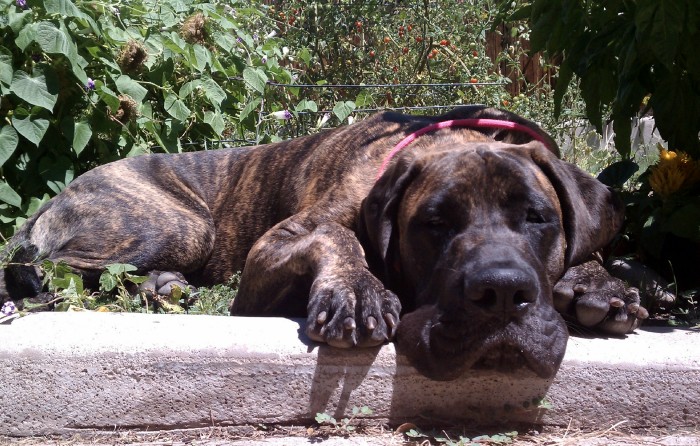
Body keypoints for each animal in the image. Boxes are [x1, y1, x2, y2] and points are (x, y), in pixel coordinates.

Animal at [0, 105, 644, 380]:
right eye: (433, 224)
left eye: (538, 218)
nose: (502, 293)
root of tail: (51, 201)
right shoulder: (269, 252)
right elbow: (334, 232)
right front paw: (358, 290)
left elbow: (590, 250)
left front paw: (599, 283)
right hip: (177, 224)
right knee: (51, 271)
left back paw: (163, 287)